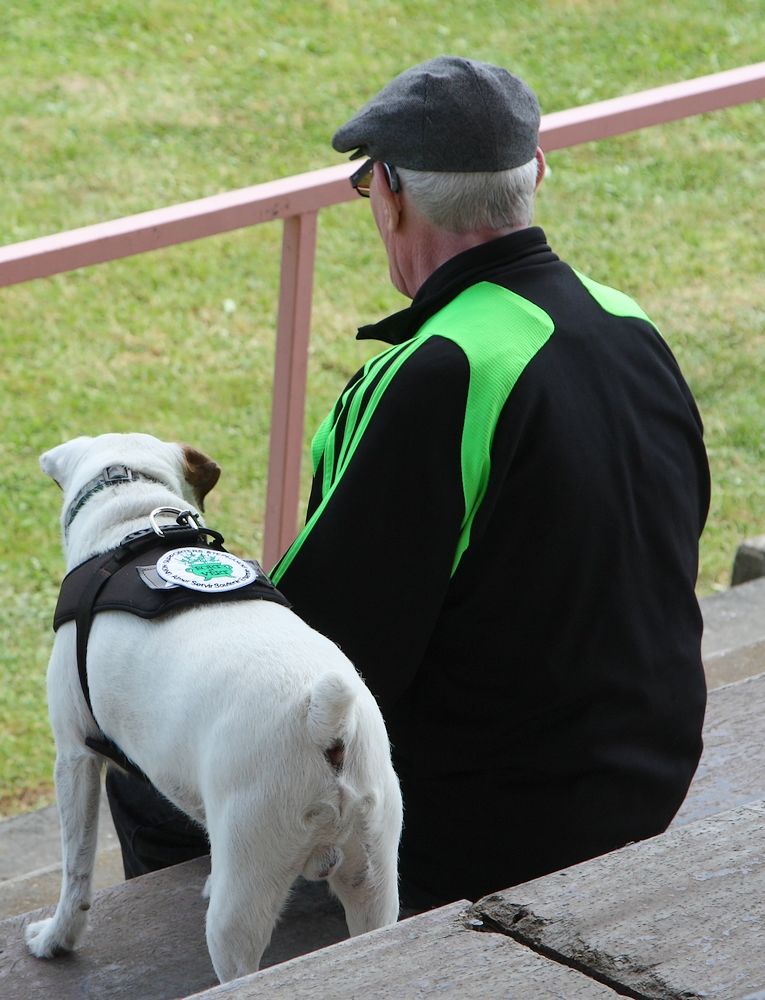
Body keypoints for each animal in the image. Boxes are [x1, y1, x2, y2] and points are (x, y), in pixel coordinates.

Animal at [25, 432, 402, 982]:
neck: (131, 520)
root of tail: (323, 722)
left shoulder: (75, 756)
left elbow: (76, 870)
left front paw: (56, 939)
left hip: (243, 894)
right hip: (373, 878)